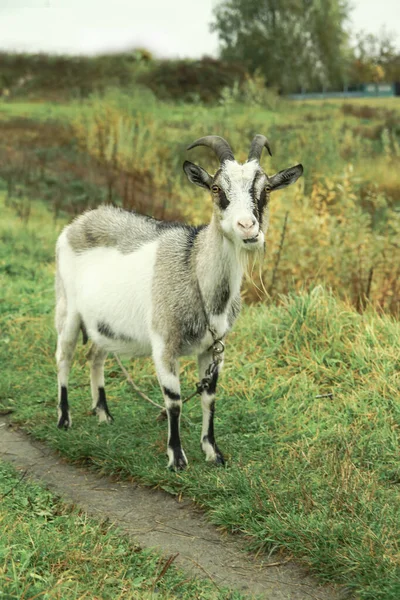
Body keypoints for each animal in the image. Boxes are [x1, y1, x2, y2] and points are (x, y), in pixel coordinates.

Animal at [54, 135, 304, 468]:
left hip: (103, 323)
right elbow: (173, 400)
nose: (248, 228)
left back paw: (103, 414)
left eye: (265, 189)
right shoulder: (164, 342)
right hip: (67, 307)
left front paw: (212, 451)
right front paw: (176, 457)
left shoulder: (215, 347)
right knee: (64, 356)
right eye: (216, 188)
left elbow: (209, 395)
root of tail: (78, 222)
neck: (194, 270)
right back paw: (64, 419)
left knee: (95, 355)